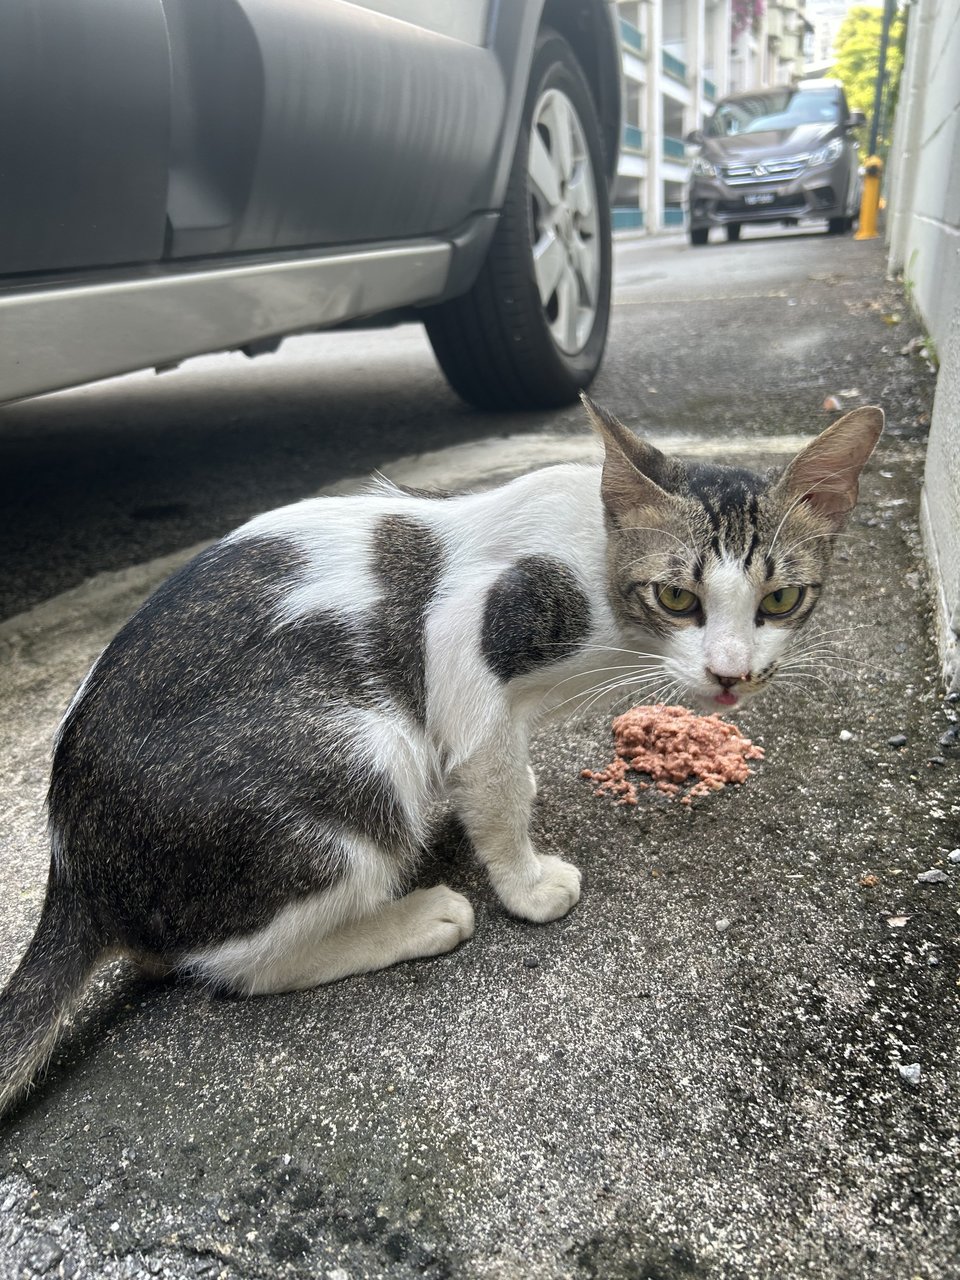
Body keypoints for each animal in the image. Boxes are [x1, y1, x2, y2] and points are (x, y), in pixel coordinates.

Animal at [0, 396, 885, 1111]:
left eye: (781, 599)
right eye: (677, 597)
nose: (732, 675)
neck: (595, 555)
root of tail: (73, 867)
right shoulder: (464, 642)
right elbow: (492, 780)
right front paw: (526, 883)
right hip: (359, 750)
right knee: (231, 965)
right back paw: (417, 917)